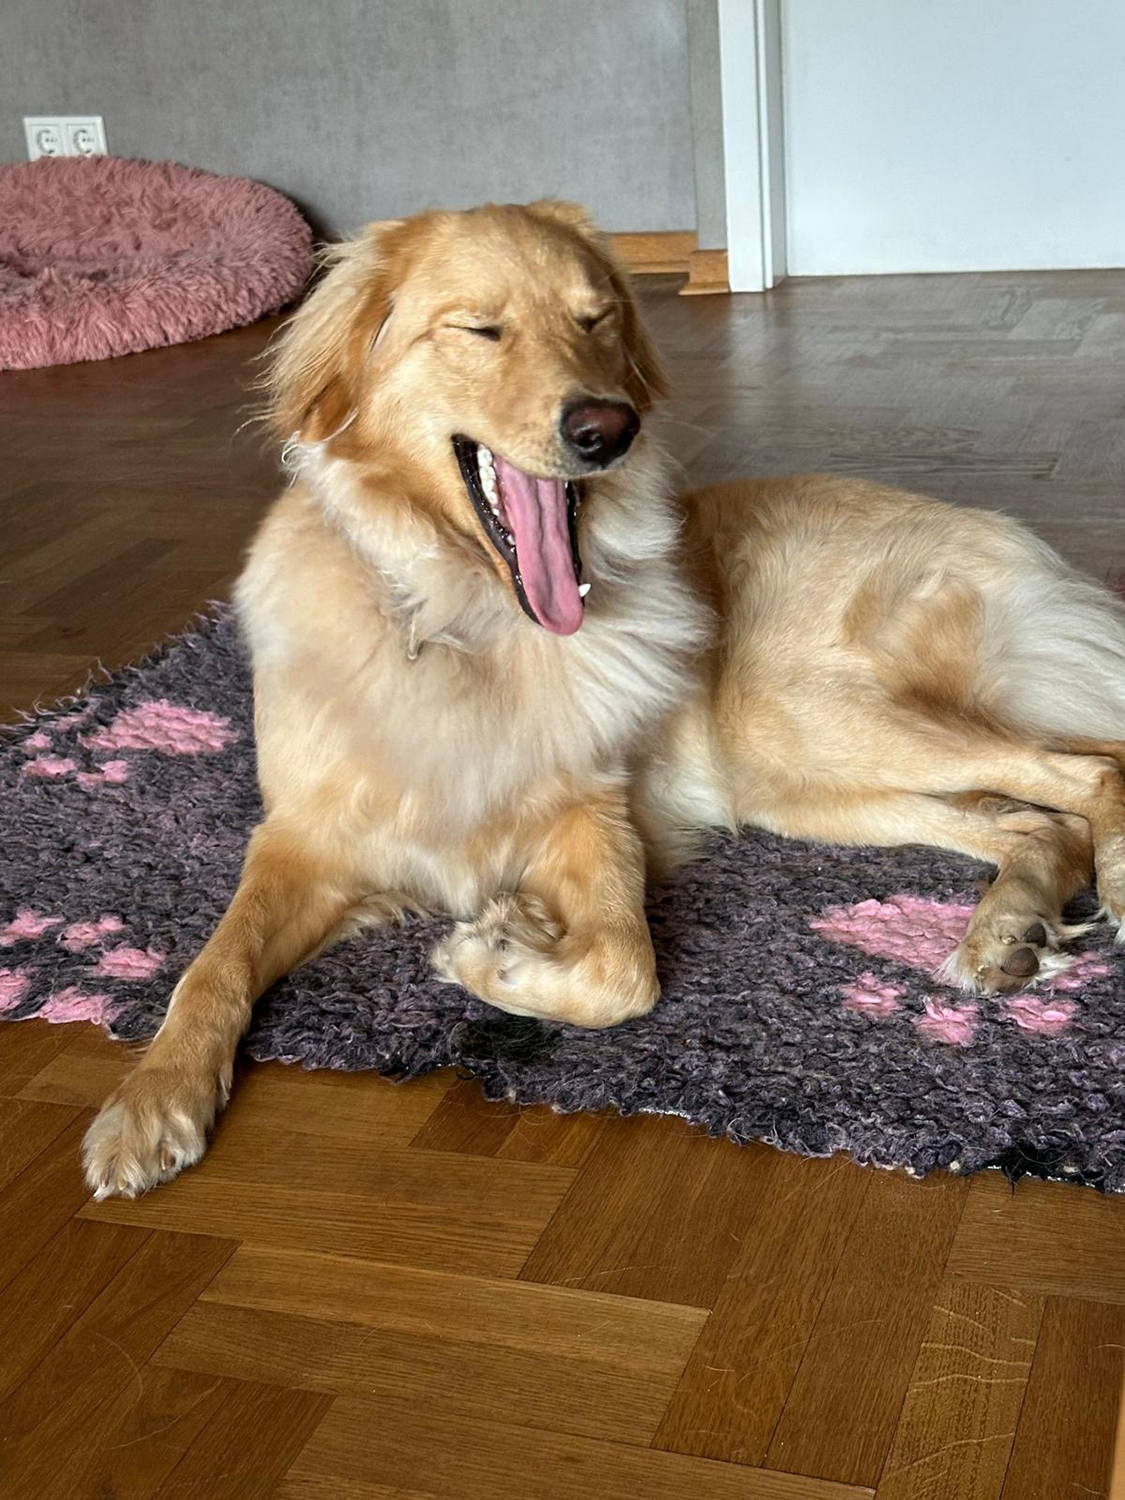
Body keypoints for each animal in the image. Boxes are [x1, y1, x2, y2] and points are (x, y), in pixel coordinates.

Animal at [84, 199, 1125, 1198]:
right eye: (482, 328)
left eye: (596, 320)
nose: (607, 430)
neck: (465, 622)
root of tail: (1004, 537)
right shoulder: (299, 840)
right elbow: (211, 967)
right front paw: (154, 1097)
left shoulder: (597, 814)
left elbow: (624, 972)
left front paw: (496, 952)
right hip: (803, 784)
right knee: (1037, 824)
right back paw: (1006, 933)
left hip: (806, 720)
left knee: (1092, 769)